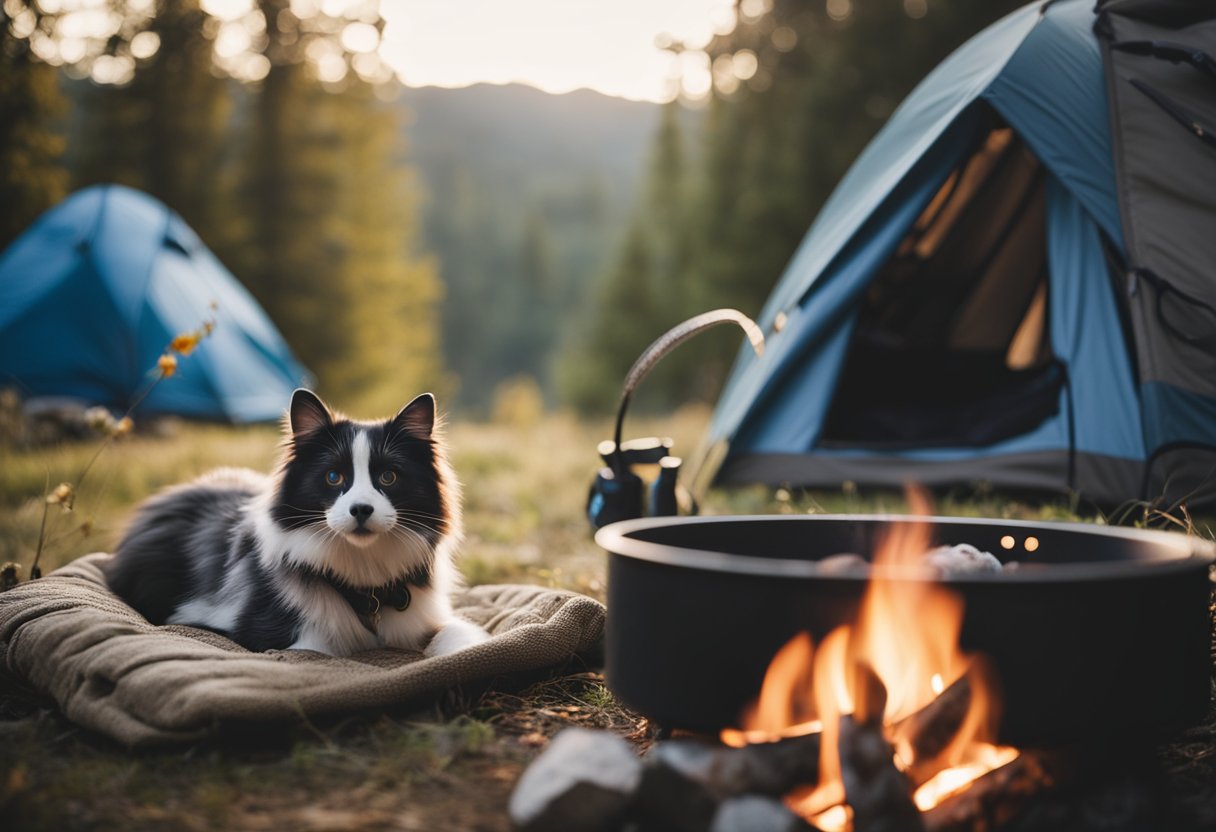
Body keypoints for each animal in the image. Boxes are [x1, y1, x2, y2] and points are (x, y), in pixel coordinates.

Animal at [103, 389, 483, 656]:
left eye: (388, 477)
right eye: (333, 476)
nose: (361, 510)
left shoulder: (425, 618)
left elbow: (459, 634)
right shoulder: (272, 630)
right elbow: (321, 648)